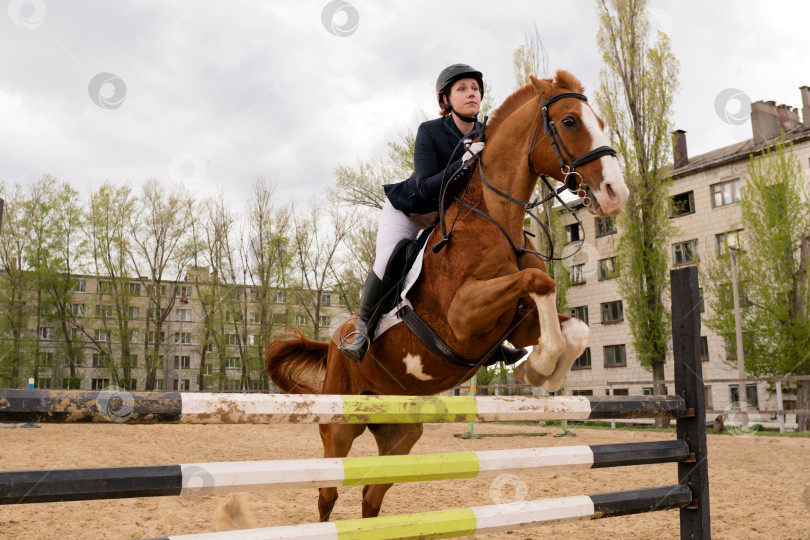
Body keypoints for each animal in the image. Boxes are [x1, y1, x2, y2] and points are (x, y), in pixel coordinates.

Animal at [266, 71, 624, 524]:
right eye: (570, 122)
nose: (615, 192)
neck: (497, 221)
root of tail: (333, 341)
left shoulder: (514, 324)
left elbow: (572, 325)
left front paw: (538, 369)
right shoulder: (463, 317)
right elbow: (539, 281)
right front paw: (539, 367)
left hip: (401, 432)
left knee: (370, 496)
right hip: (341, 422)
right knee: (328, 492)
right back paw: (357, 341)